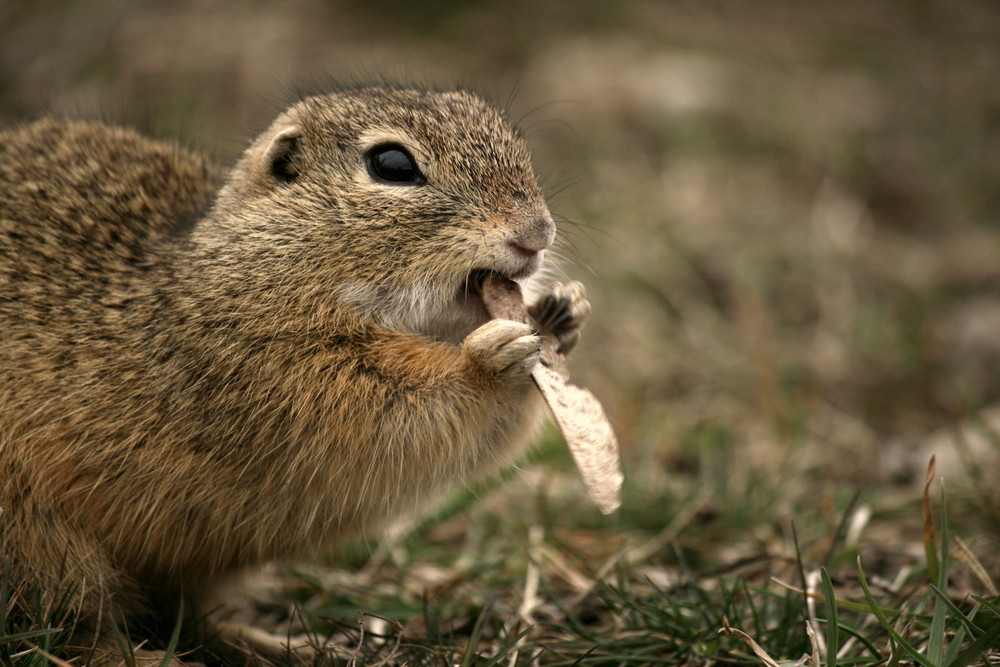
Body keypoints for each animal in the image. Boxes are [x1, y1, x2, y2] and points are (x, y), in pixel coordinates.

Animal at [0, 85, 588, 664]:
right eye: (392, 165)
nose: (538, 233)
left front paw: (561, 315)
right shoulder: (283, 371)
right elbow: (400, 412)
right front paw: (487, 359)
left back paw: (278, 645)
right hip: (41, 540)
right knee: (77, 624)